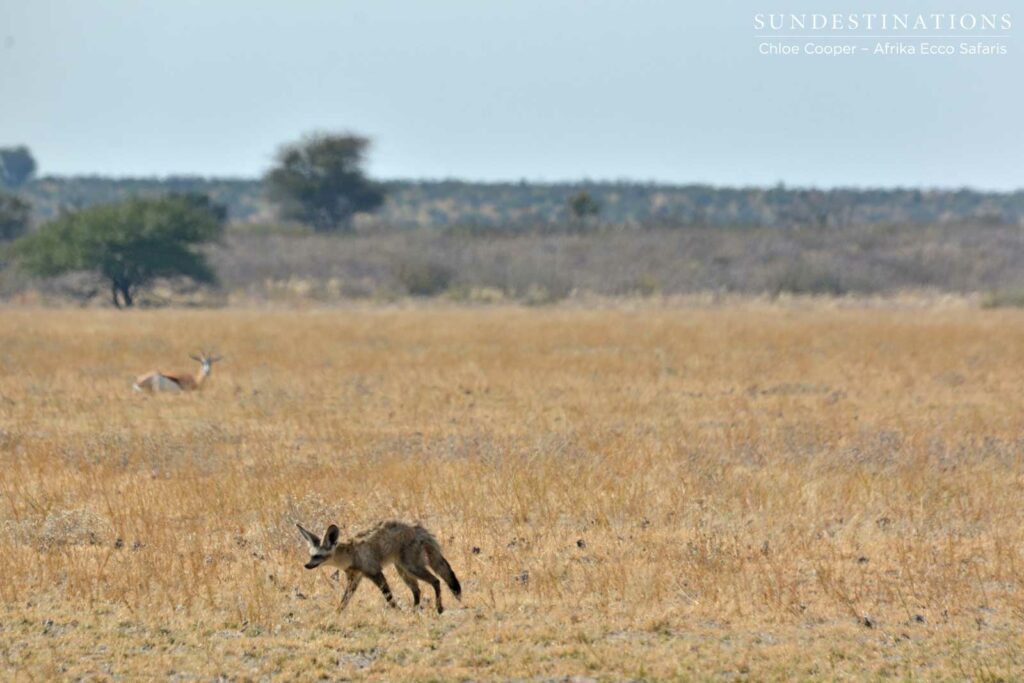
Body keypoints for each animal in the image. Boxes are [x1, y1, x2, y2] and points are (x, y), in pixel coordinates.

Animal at [297, 520, 462, 614]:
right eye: (311, 555)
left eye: (317, 556)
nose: (306, 565)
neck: (351, 554)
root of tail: (416, 528)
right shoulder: (354, 579)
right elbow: (345, 599)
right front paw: (337, 612)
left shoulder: (375, 573)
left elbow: (389, 596)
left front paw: (397, 611)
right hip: (403, 571)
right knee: (418, 590)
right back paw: (414, 610)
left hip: (412, 568)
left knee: (436, 581)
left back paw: (439, 608)